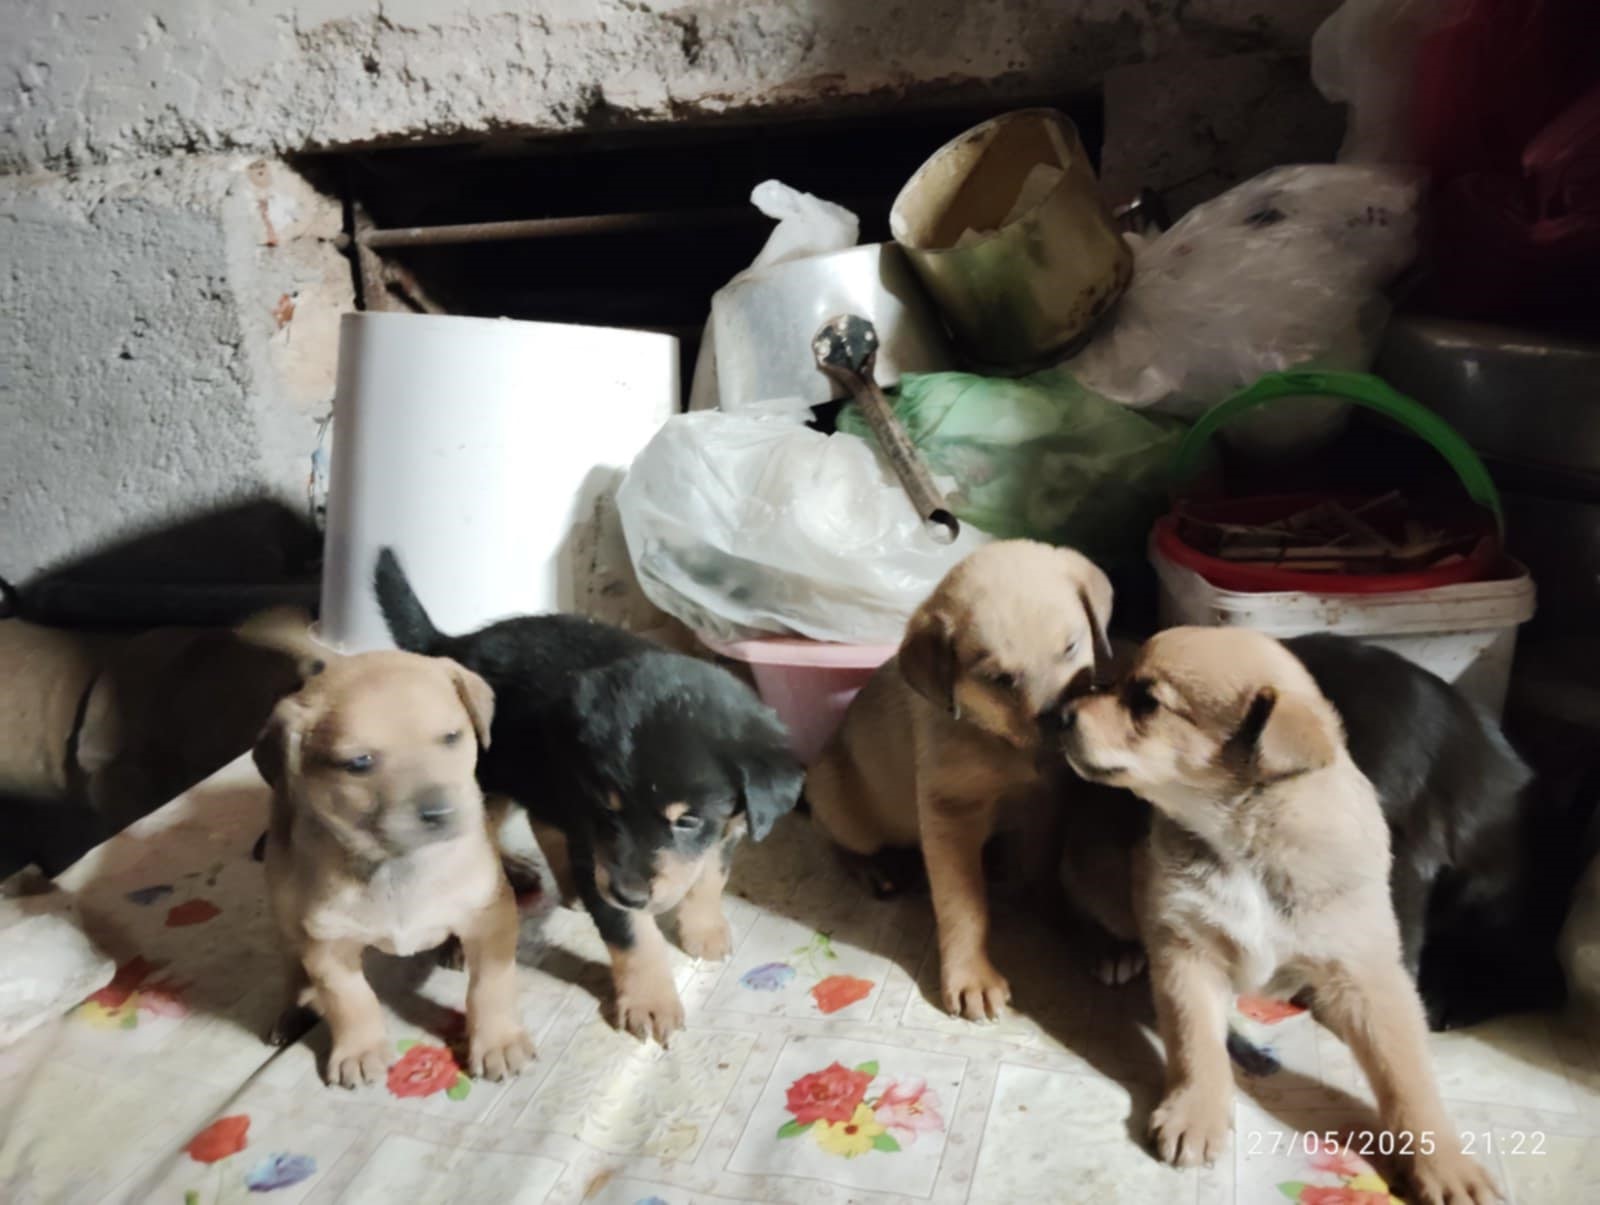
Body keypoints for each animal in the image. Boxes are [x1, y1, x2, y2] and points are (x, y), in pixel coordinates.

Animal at [257, 650, 534, 1088]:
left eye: (452, 737)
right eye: (359, 762)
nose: (440, 813)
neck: (400, 865)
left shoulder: (492, 919)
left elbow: (491, 986)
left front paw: (498, 1042)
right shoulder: (326, 944)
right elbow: (350, 1000)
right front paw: (359, 1050)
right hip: (283, 906)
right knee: (292, 966)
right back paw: (295, 1009)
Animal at [373, 548, 803, 1044]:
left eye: (688, 820)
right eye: (607, 808)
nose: (629, 893)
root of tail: (449, 645)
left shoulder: (722, 831)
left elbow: (709, 878)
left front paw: (705, 932)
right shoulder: (595, 847)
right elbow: (634, 935)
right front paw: (651, 1002)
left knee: (540, 823)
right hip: (484, 787)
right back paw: (461, 934)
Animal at [806, 540, 1114, 1020]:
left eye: (1070, 647)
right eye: (1000, 679)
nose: (1061, 721)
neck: (1004, 745)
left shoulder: (1049, 801)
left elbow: (1045, 873)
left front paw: (1085, 930)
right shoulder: (950, 811)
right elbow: (963, 908)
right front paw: (971, 978)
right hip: (840, 802)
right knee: (832, 838)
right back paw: (872, 868)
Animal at [1060, 627, 1497, 1204]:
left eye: (1148, 703)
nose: (1061, 713)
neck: (1244, 845)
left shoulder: (1369, 973)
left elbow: (1408, 1075)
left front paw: (1444, 1164)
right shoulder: (1185, 947)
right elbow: (1195, 1042)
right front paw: (1196, 1115)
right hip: (1100, 872)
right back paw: (1113, 949)